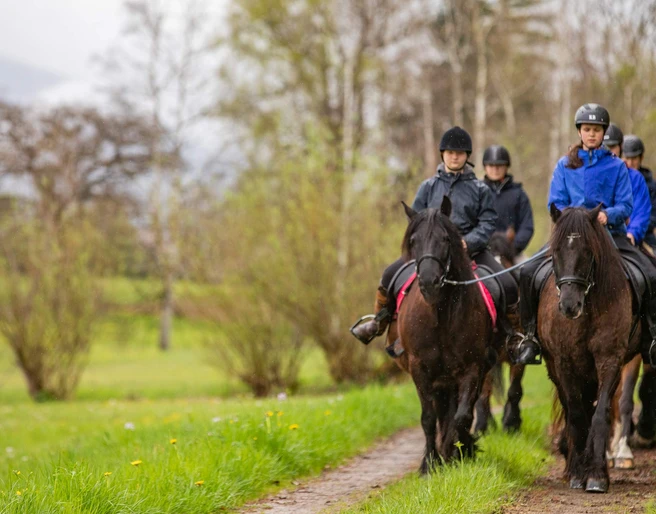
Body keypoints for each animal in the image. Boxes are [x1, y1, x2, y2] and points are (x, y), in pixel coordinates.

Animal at [394, 197, 497, 472]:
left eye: (445, 239)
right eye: (414, 240)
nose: (429, 282)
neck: (440, 315)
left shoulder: (472, 368)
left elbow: (461, 417)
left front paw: (456, 451)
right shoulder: (420, 368)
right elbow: (429, 418)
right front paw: (429, 464)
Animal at [539, 204, 641, 493]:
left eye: (587, 251)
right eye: (556, 251)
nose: (568, 306)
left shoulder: (610, 360)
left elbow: (600, 413)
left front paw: (596, 475)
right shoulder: (564, 362)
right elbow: (575, 413)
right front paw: (577, 473)